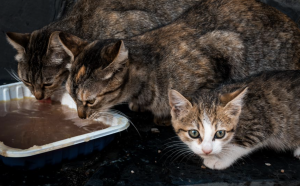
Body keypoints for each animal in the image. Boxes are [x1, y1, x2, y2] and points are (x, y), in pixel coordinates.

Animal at [168, 70, 300, 169]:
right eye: (194, 133)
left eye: (220, 133)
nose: (207, 150)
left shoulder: (259, 123)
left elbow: (238, 146)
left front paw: (219, 159)